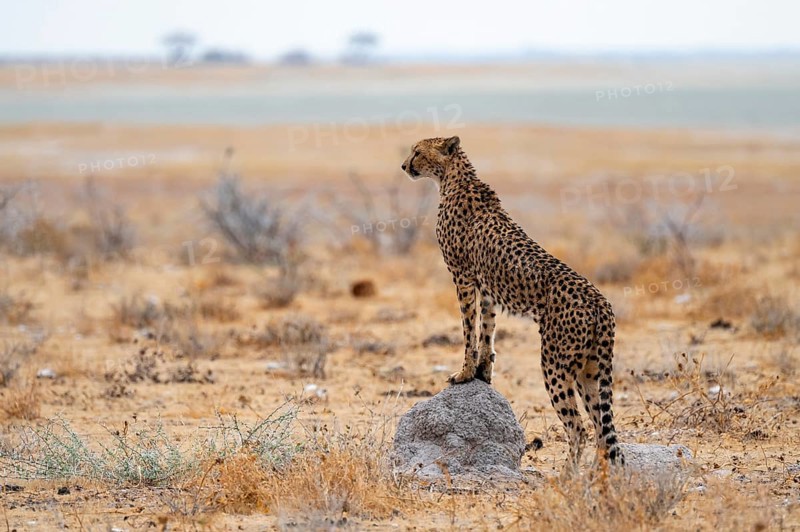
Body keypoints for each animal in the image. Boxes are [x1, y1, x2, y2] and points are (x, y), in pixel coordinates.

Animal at [401, 136, 624, 468]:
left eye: (417, 151)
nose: (404, 165)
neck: (453, 178)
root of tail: (600, 300)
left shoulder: (462, 277)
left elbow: (468, 331)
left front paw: (464, 374)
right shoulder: (486, 287)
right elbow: (487, 331)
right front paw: (483, 374)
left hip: (555, 362)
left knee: (578, 428)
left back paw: (567, 476)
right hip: (590, 368)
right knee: (601, 429)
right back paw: (596, 476)